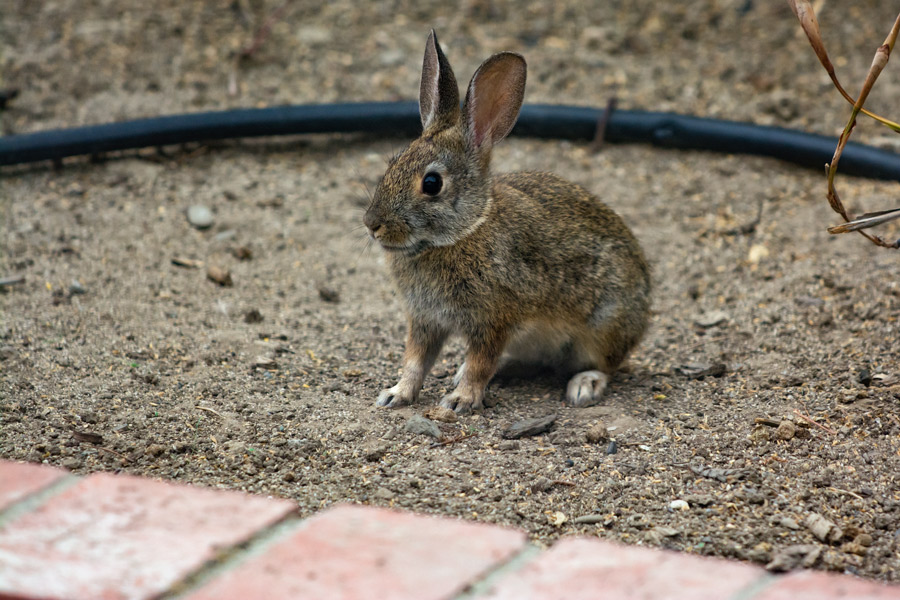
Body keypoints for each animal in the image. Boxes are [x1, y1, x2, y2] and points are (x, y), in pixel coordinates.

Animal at [363, 30, 651, 414]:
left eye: (432, 183)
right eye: (392, 164)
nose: (372, 224)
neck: (465, 230)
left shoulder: (494, 320)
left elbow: (480, 362)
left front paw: (460, 401)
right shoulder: (425, 321)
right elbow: (415, 362)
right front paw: (396, 394)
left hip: (604, 326)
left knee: (606, 364)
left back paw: (584, 385)